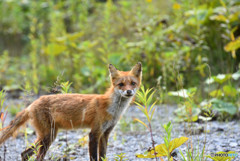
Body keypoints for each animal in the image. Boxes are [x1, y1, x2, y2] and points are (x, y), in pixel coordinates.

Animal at [0, 62, 142, 161]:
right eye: (121, 84)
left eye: (133, 83)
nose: (129, 91)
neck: (113, 109)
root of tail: (32, 104)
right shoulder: (94, 133)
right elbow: (94, 157)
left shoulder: (105, 133)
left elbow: (102, 156)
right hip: (48, 137)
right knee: (36, 157)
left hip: (48, 136)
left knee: (24, 153)